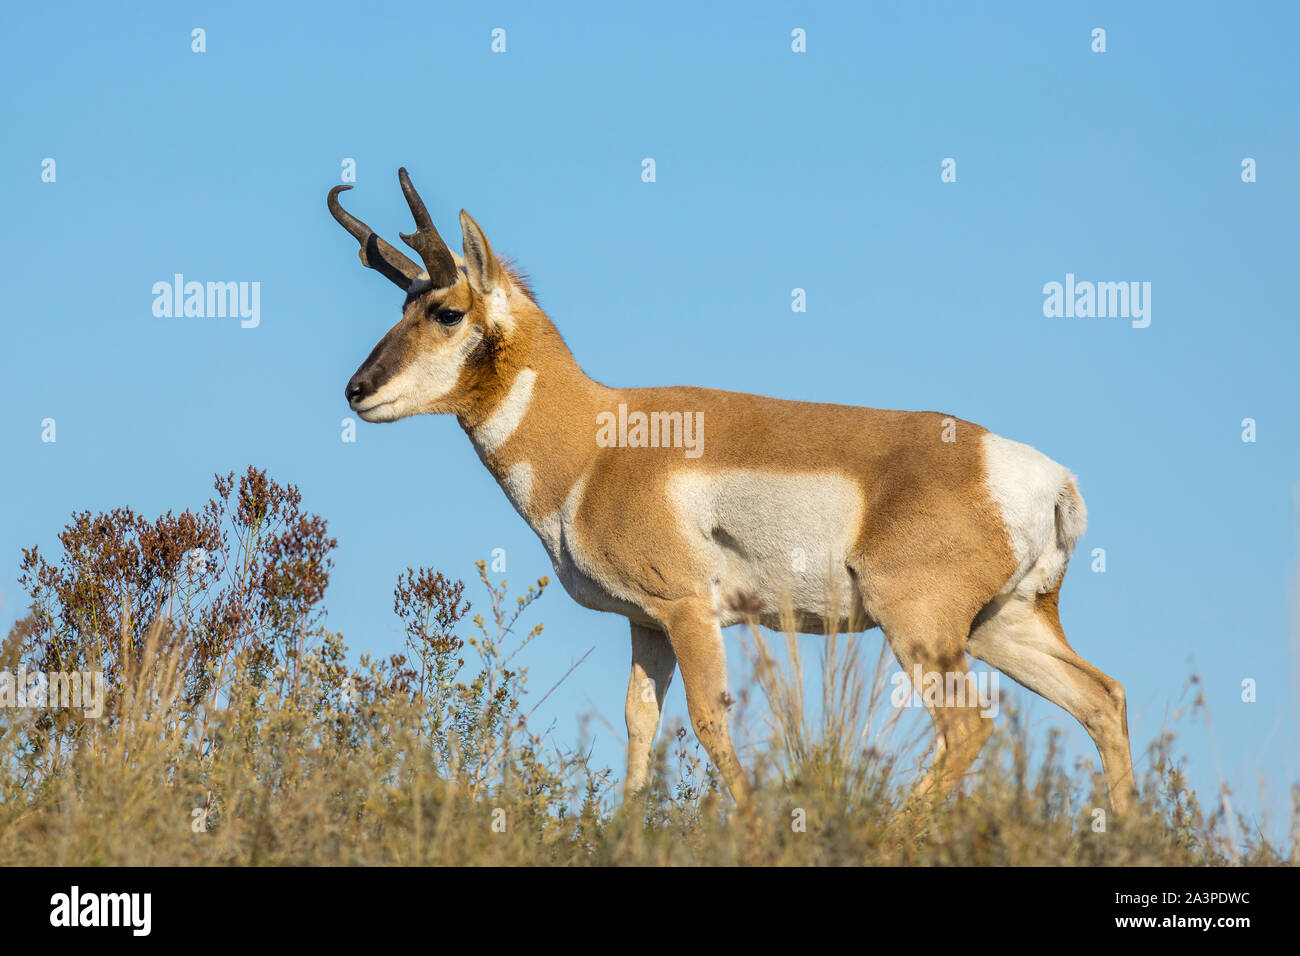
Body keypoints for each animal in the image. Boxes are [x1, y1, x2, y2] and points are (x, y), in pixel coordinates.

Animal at [327, 167, 1138, 811]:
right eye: (402, 308)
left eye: (446, 311)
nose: (356, 391)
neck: (598, 439)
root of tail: (1037, 474)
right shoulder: (646, 624)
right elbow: (640, 725)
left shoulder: (689, 610)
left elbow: (710, 719)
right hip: (1002, 626)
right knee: (1103, 698)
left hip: (921, 627)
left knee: (970, 729)